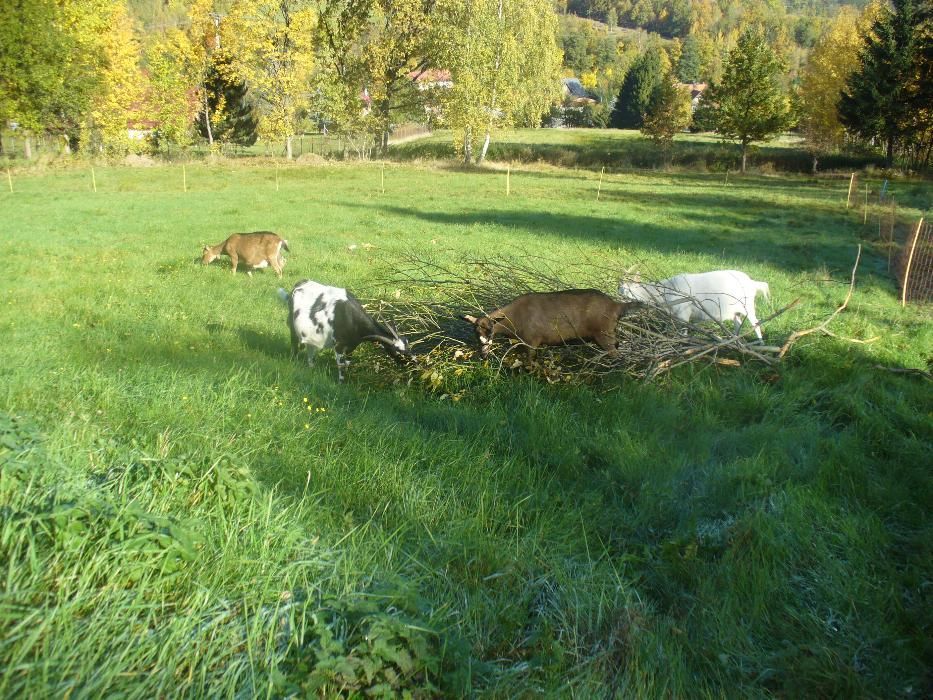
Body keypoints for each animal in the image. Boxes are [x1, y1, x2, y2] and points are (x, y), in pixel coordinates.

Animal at [274, 278, 410, 380]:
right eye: (397, 352)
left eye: (407, 345)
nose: (410, 363)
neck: (351, 318)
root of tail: (299, 284)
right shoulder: (338, 345)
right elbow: (341, 365)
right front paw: (341, 382)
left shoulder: (352, 345)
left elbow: (347, 363)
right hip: (293, 327)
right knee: (294, 345)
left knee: (310, 348)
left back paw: (311, 367)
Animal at [462, 288, 636, 358]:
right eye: (476, 333)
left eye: (491, 331)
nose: (483, 355)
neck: (515, 317)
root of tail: (616, 306)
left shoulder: (532, 342)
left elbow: (530, 362)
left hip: (604, 335)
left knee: (616, 356)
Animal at [620, 270, 772, 342]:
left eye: (628, 291)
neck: (667, 290)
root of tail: (752, 283)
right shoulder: (672, 317)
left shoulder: (683, 314)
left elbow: (683, 332)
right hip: (736, 311)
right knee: (738, 324)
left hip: (748, 306)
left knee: (756, 323)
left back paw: (760, 344)